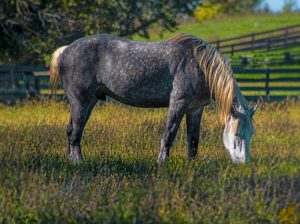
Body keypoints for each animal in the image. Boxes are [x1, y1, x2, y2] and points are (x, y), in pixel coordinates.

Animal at [49, 33, 258, 164]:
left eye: (251, 134)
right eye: (237, 134)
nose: (244, 163)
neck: (200, 64)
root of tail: (66, 50)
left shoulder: (195, 109)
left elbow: (193, 139)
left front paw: (192, 164)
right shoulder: (178, 103)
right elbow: (169, 134)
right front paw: (161, 162)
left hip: (83, 103)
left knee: (70, 131)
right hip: (82, 102)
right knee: (75, 134)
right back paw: (78, 162)